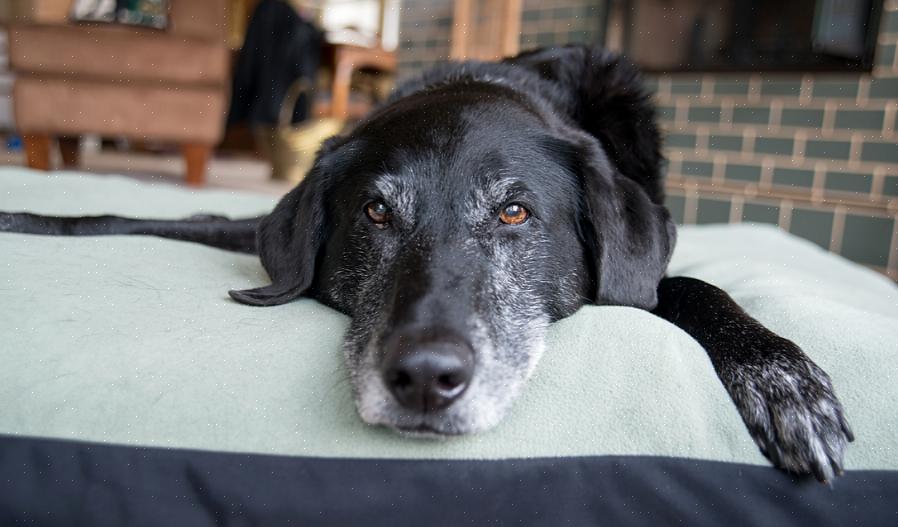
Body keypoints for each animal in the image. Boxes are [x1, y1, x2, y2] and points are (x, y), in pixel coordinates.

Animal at [1, 47, 856, 484]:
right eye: (376, 213)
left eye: (514, 213)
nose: (424, 379)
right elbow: (129, 215)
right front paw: (27, 216)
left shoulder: (650, 270)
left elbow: (687, 284)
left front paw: (781, 377)